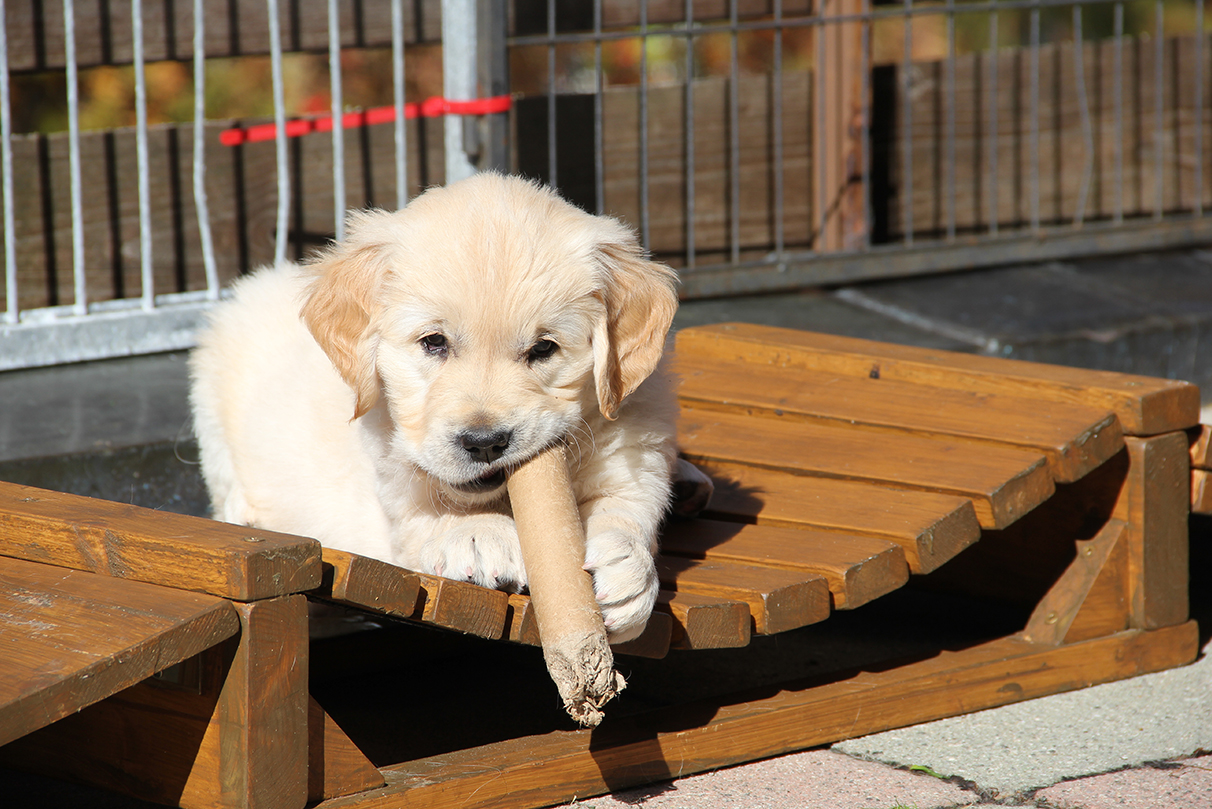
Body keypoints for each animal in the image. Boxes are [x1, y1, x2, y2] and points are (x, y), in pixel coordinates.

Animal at [193, 174, 678, 640]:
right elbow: (426, 512)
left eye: (543, 348)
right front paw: (479, 532)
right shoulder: (393, 479)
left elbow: (629, 505)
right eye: (434, 342)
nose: (484, 443)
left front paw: (627, 568)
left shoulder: (634, 446)